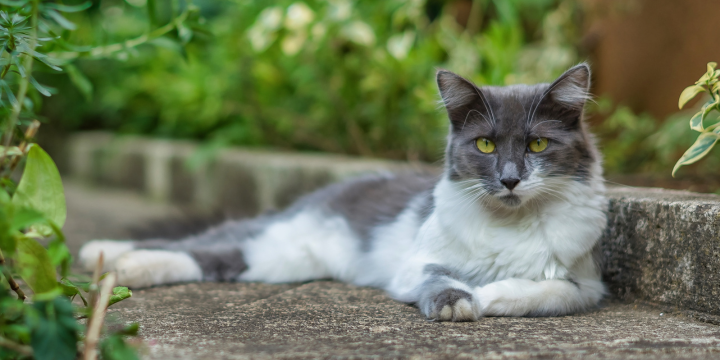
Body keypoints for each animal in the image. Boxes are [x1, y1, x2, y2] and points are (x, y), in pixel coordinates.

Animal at [80, 63, 608, 322]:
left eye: (537, 144)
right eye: (485, 145)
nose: (510, 178)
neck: (510, 223)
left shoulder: (584, 284)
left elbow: (545, 292)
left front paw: (487, 295)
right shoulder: (418, 262)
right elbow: (439, 279)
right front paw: (459, 300)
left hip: (279, 260)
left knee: (209, 256)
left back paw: (121, 267)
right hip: (275, 238)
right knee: (195, 243)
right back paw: (105, 256)